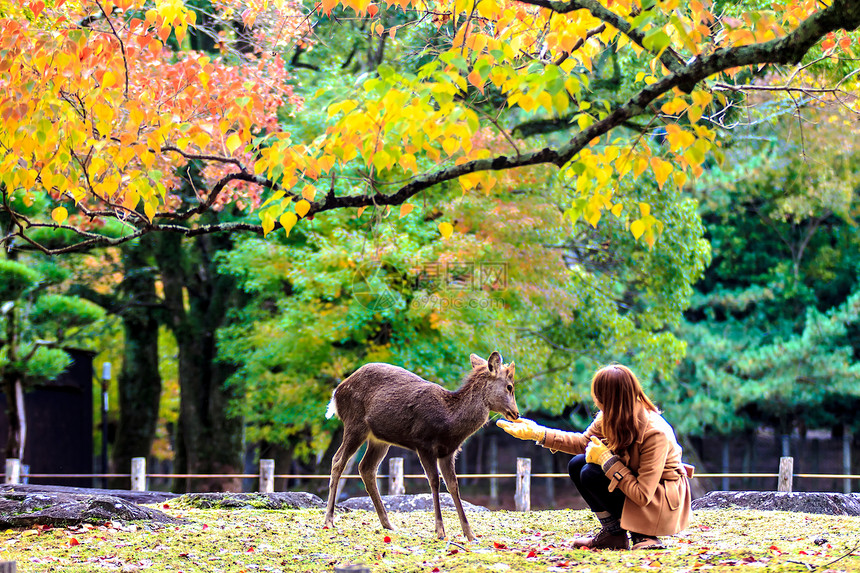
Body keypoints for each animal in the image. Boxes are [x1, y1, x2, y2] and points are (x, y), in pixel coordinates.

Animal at [322, 348, 516, 540]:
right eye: (510, 386)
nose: (516, 413)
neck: (449, 422)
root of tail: (336, 394)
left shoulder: (448, 452)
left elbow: (453, 485)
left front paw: (470, 534)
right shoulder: (423, 443)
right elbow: (434, 481)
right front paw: (440, 531)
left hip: (379, 439)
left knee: (366, 468)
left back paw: (388, 524)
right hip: (354, 424)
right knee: (338, 461)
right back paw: (329, 520)